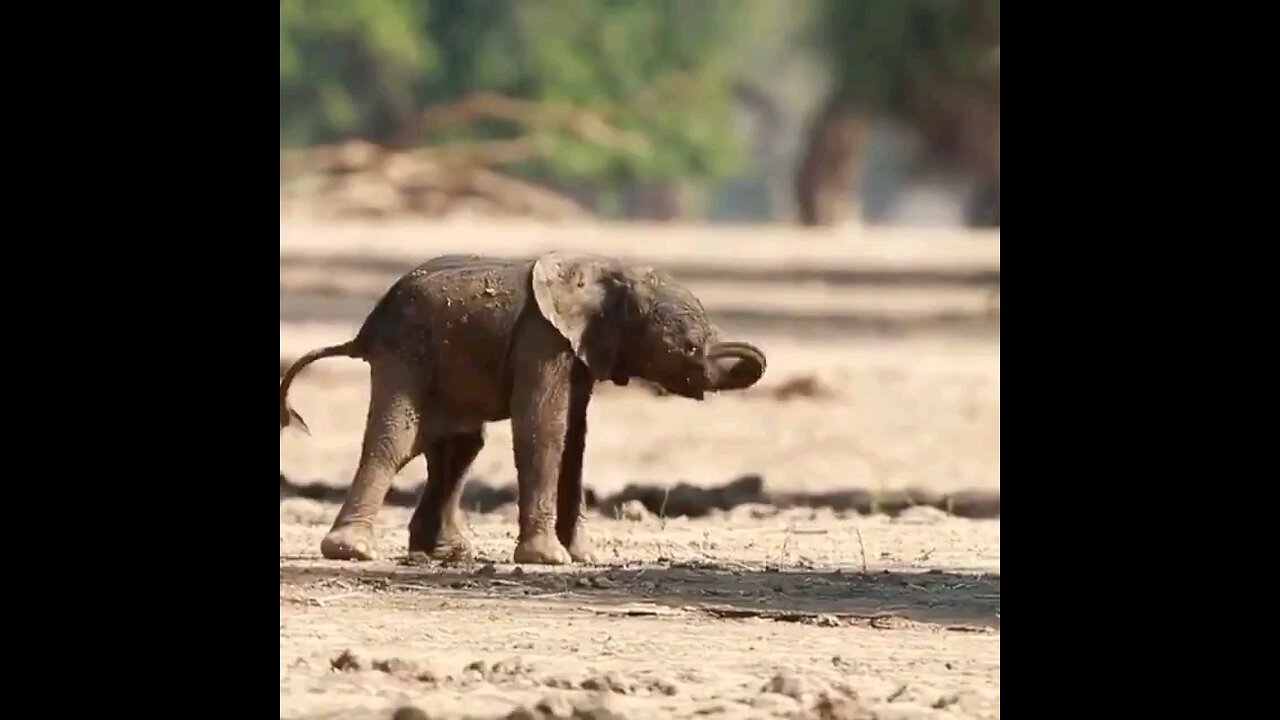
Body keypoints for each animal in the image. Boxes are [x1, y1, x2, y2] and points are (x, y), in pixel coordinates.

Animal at [280, 249, 762, 563]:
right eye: (690, 346)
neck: (608, 270)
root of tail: (364, 329)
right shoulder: (542, 338)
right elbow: (543, 426)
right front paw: (549, 559)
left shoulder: (579, 351)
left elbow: (574, 439)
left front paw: (583, 558)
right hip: (406, 354)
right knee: (396, 440)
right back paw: (353, 551)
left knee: (459, 448)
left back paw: (448, 552)